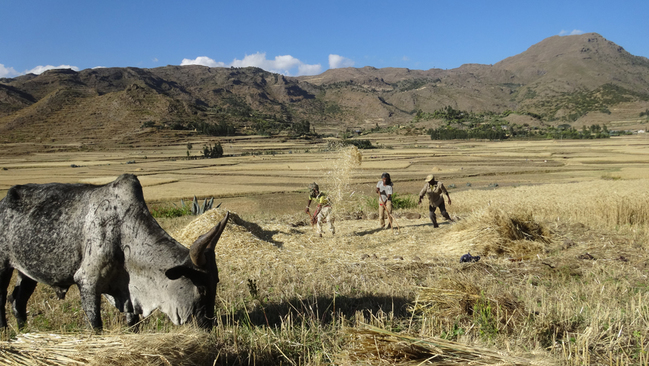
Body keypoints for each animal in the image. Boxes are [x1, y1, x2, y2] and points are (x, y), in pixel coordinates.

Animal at [0, 173, 228, 330]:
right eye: (201, 288)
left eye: (215, 282)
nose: (209, 326)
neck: (124, 232)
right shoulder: (87, 282)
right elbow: (95, 325)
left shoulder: (127, 294)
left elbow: (133, 323)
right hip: (3, 265)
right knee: (4, 299)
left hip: (27, 272)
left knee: (17, 302)